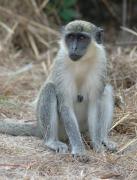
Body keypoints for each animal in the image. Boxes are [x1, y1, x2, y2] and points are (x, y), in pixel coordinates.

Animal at [0, 20, 116, 157]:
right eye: (71, 37)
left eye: (82, 38)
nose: (74, 48)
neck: (81, 61)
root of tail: (39, 127)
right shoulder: (61, 62)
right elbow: (65, 105)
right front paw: (79, 149)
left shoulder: (100, 61)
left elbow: (95, 103)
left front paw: (98, 145)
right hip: (58, 129)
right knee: (49, 89)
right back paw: (51, 142)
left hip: (83, 127)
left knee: (107, 90)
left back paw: (104, 139)